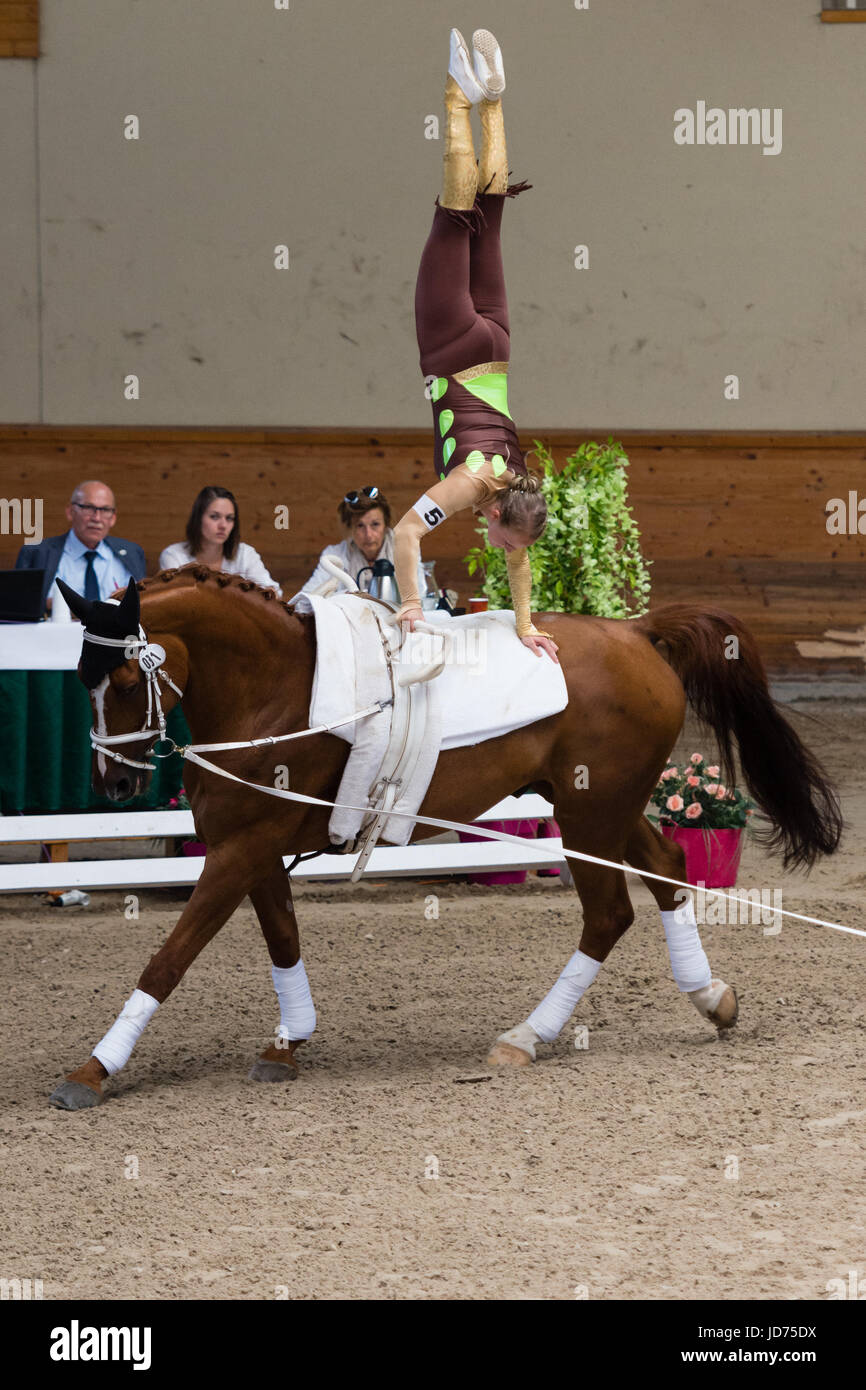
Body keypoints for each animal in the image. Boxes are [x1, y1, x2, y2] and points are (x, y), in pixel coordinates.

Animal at [48, 564, 839, 1106]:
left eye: (126, 679)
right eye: (79, 680)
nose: (113, 786)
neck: (272, 688)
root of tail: (636, 630)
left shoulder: (241, 849)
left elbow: (168, 960)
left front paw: (94, 1069)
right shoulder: (256, 850)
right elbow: (283, 940)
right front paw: (287, 1044)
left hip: (591, 813)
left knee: (610, 912)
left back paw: (527, 1037)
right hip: (602, 807)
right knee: (668, 866)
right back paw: (710, 998)